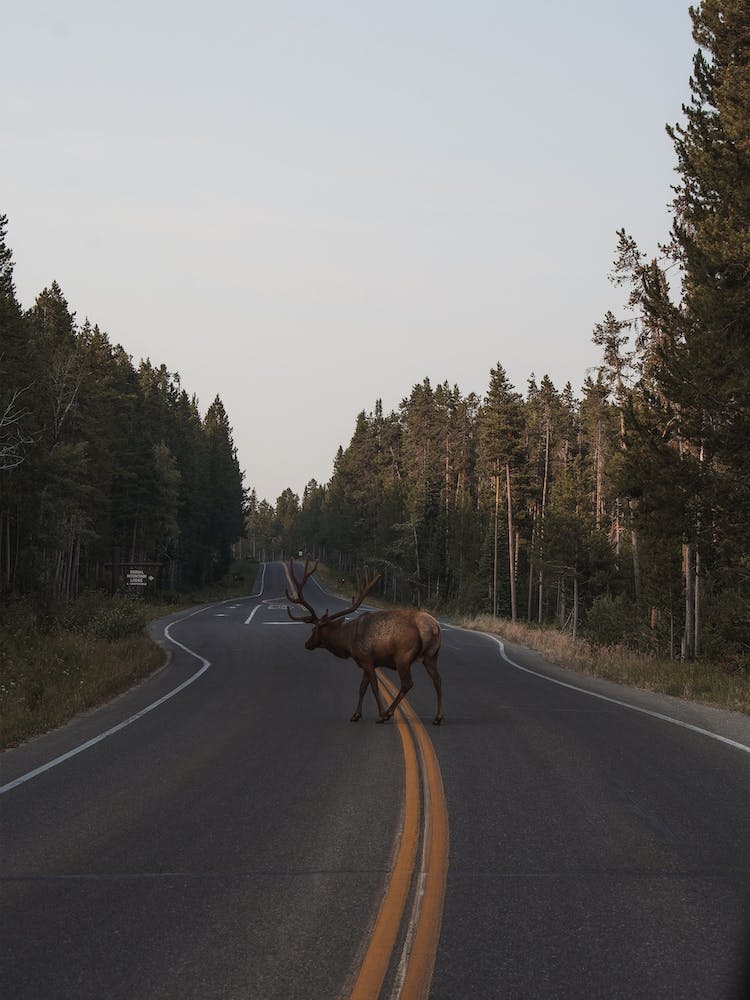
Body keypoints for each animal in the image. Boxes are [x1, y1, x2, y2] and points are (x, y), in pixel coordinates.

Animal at [286, 559, 444, 725]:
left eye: (314, 629)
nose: (307, 643)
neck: (347, 641)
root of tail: (433, 627)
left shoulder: (366, 659)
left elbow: (374, 687)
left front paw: (380, 715)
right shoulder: (368, 663)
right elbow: (362, 688)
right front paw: (356, 715)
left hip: (403, 657)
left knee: (408, 683)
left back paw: (389, 713)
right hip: (431, 656)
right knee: (438, 680)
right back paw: (438, 717)